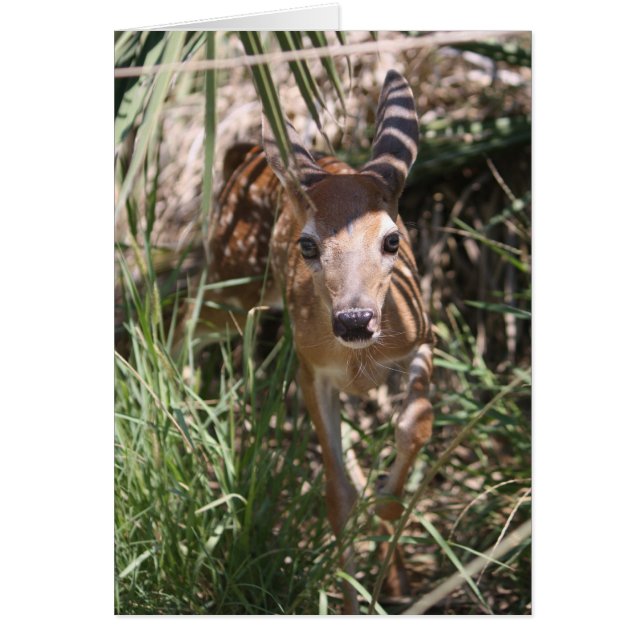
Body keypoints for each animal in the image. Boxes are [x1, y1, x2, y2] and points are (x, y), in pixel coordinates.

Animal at [177, 70, 434, 614]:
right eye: (308, 244)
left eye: (393, 239)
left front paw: (388, 507)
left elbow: (415, 424)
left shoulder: (423, 334)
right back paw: (176, 402)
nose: (355, 320)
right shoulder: (309, 368)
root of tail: (244, 156)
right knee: (184, 313)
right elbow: (336, 495)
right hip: (235, 279)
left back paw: (396, 576)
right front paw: (351, 601)